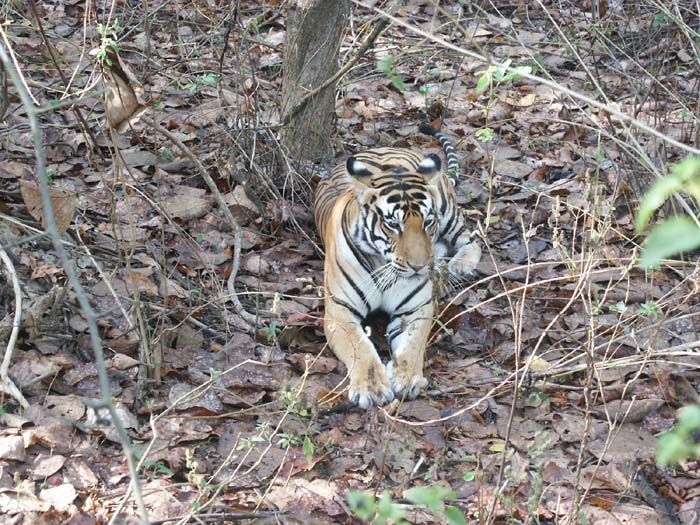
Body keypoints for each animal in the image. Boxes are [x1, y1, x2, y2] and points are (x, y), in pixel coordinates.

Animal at [314, 124, 482, 410]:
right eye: (393, 224)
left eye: (427, 222)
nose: (420, 266)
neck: (384, 264)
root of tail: (386, 147)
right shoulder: (339, 311)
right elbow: (360, 346)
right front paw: (372, 388)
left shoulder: (416, 308)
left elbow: (414, 344)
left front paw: (406, 378)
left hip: (448, 210)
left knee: (470, 239)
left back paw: (457, 266)